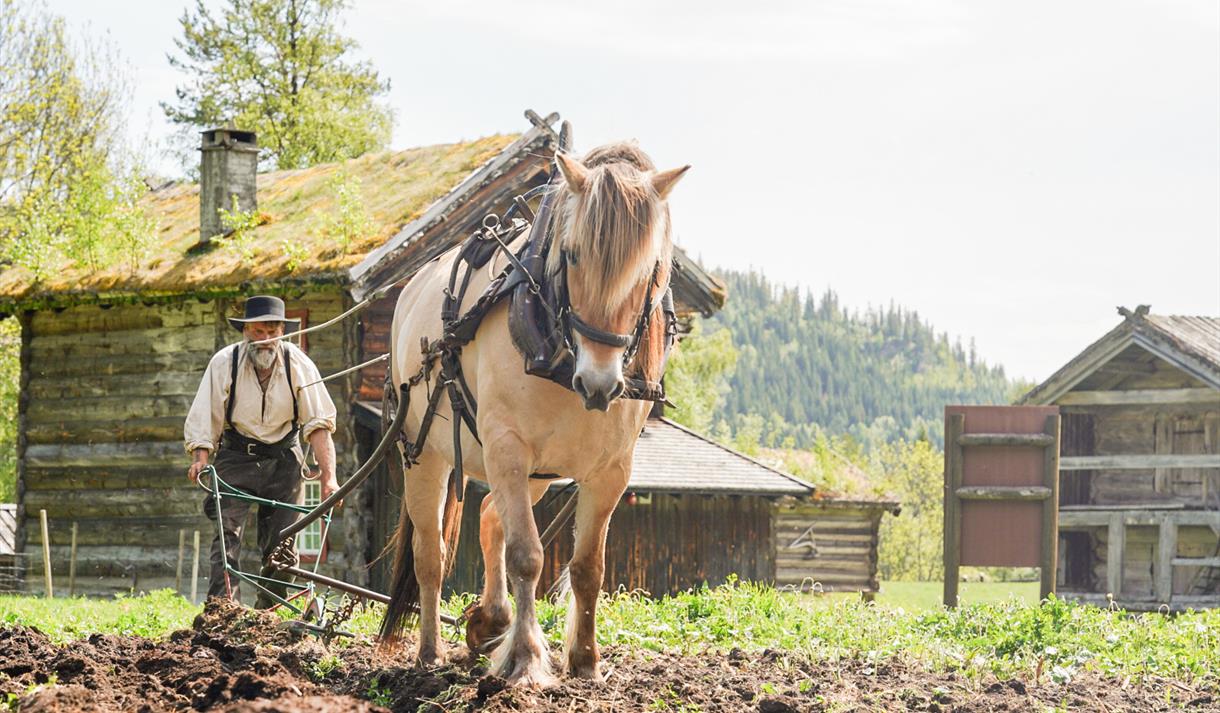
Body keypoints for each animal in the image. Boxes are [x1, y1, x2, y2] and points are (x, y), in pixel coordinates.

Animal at [378, 140, 688, 683]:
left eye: (650, 267)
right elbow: (527, 556)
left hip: (540, 470)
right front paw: (524, 658)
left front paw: (584, 660)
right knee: (430, 554)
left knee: (487, 516)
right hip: (425, 453)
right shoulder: (505, 446)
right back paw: (431, 652)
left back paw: (489, 620)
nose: (600, 383)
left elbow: (588, 568)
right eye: (572, 254)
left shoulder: (611, 470)